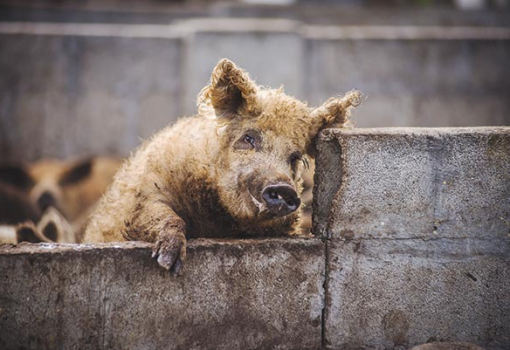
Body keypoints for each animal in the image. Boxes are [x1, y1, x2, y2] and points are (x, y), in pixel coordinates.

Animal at [84, 58, 362, 274]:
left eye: (294, 157)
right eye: (249, 138)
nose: (284, 188)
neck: (218, 219)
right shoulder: (144, 195)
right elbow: (165, 216)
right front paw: (167, 264)